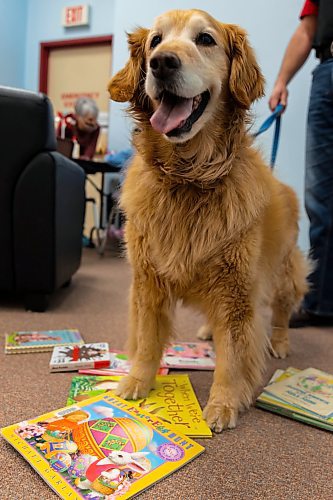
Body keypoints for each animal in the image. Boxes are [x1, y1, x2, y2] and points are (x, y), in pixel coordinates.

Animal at [109, 7, 308, 432]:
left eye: (205, 39)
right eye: (155, 41)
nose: (162, 62)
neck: (189, 177)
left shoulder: (236, 290)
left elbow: (233, 356)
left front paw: (223, 403)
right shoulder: (147, 279)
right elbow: (148, 340)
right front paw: (137, 380)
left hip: (285, 273)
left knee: (281, 312)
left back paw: (280, 342)